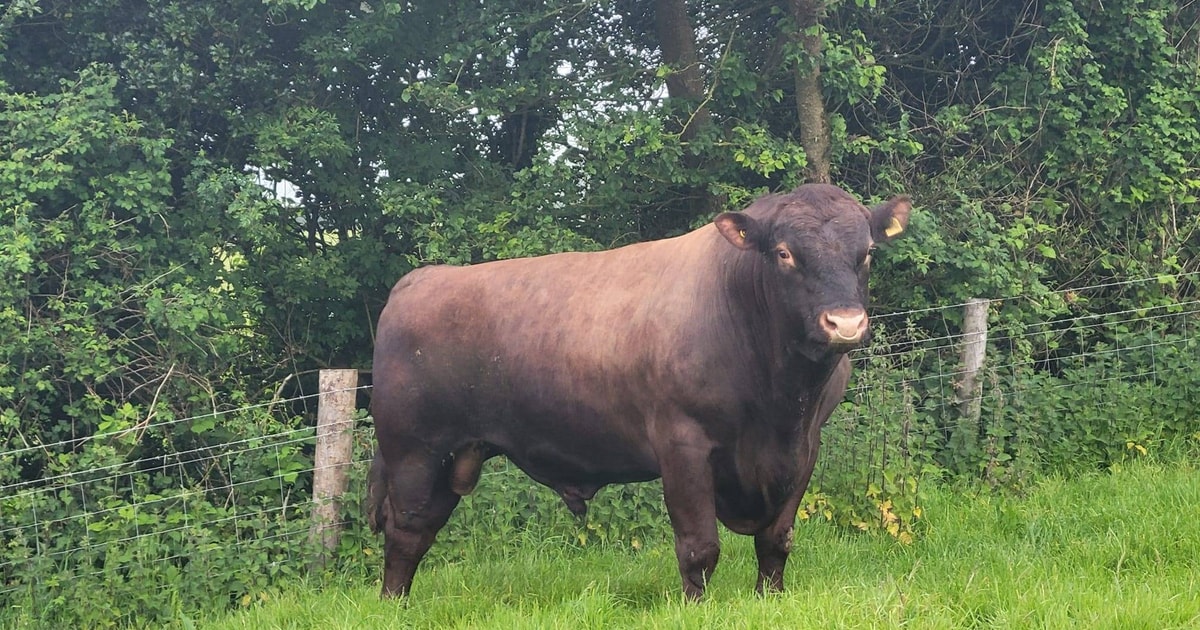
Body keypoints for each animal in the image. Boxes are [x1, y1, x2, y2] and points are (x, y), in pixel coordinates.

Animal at [368, 183, 911, 600]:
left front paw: (769, 599)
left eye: (867, 252)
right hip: (415, 450)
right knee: (406, 531)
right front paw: (697, 608)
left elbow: (777, 539)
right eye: (784, 254)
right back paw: (394, 605)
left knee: (421, 529)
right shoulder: (682, 443)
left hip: (453, 458)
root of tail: (421, 279)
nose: (845, 323)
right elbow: (699, 546)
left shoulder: (804, 446)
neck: (780, 400)